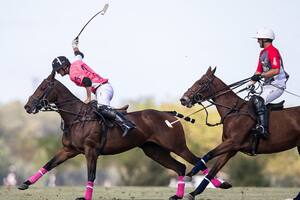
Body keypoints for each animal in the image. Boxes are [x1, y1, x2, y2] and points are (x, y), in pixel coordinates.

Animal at [18, 72, 230, 200]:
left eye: (43, 87)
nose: (27, 106)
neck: (77, 117)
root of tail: (169, 114)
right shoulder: (69, 150)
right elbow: (49, 164)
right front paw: (25, 184)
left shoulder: (91, 150)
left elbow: (91, 174)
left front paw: (85, 197)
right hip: (153, 151)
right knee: (180, 167)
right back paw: (178, 195)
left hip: (176, 146)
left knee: (197, 160)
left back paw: (221, 184)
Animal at [179, 67, 298, 200]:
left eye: (201, 82)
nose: (183, 99)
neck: (234, 111)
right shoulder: (231, 149)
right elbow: (212, 171)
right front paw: (192, 193)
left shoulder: (233, 142)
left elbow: (208, 154)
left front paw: (189, 174)